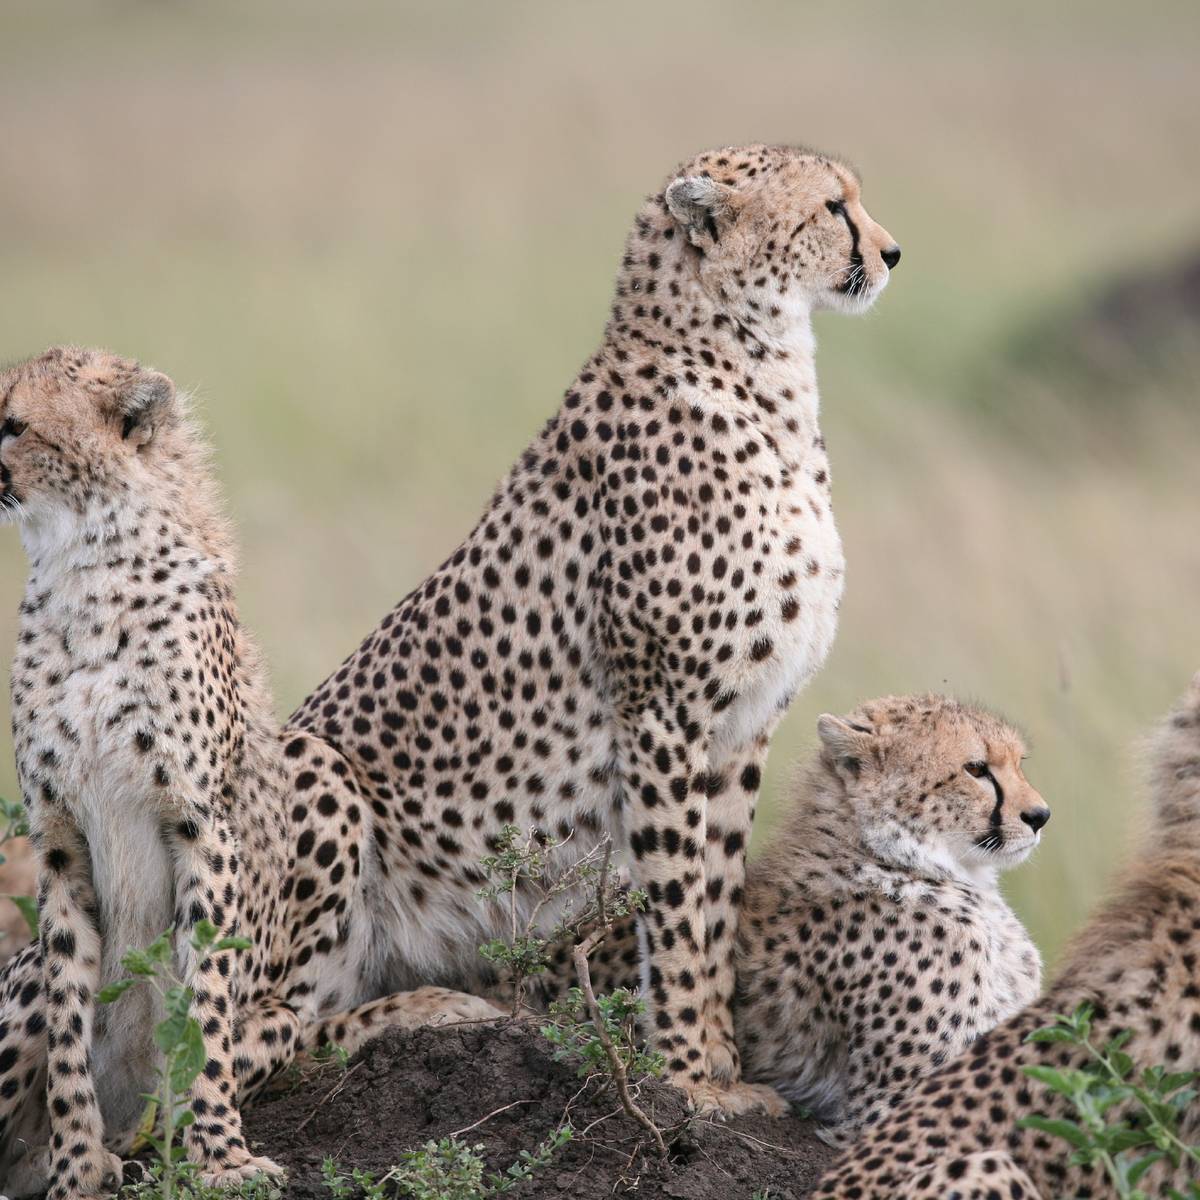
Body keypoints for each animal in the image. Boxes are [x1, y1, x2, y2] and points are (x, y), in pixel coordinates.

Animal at [0, 350, 499, 1200]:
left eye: (13, 424)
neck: (83, 565)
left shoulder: (202, 824)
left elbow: (202, 1010)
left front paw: (221, 1159)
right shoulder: (59, 843)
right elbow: (70, 1025)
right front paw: (76, 1170)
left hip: (311, 827)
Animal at [283, 142, 902, 1113]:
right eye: (834, 207)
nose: (892, 253)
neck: (753, 367)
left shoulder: (743, 727)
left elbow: (717, 900)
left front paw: (721, 1066)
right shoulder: (663, 714)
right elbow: (676, 907)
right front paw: (687, 1082)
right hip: (309, 770)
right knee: (241, 1044)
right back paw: (436, 1014)